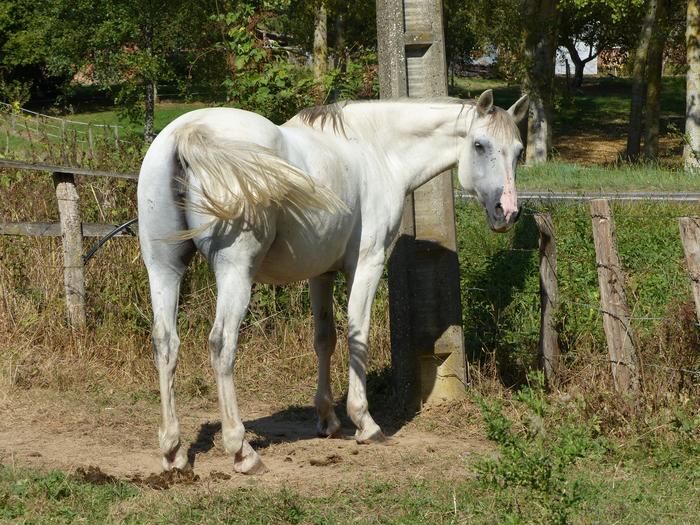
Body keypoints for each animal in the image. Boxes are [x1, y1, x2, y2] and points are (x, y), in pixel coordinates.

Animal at [138, 88, 524, 472]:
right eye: (480, 145)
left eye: (519, 151)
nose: (507, 212)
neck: (375, 149)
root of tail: (188, 133)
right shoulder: (367, 263)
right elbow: (357, 335)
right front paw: (365, 422)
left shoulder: (320, 273)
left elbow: (325, 339)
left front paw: (328, 420)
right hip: (235, 272)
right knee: (222, 344)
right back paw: (241, 449)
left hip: (163, 269)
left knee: (166, 343)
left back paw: (173, 451)